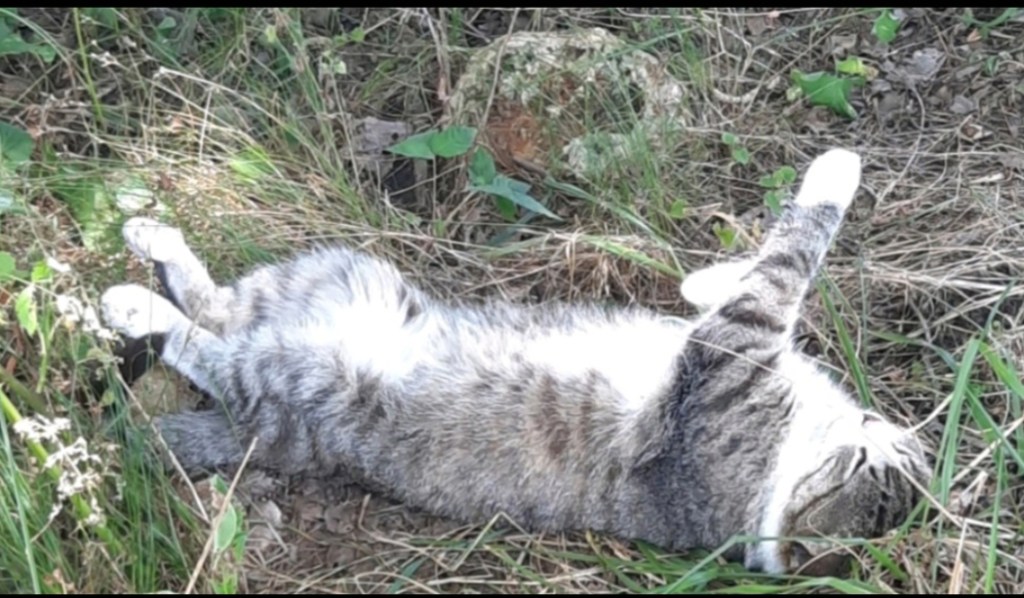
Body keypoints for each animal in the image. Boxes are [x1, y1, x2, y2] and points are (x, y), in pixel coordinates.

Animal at [99, 148, 932, 577]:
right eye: (879, 454)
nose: (885, 431)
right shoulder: (737, 341)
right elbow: (762, 280)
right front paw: (707, 274)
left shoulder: (733, 354)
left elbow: (789, 259)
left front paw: (835, 170)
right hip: (338, 275)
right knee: (220, 306)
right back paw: (149, 236)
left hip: (301, 382)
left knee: (214, 349)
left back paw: (131, 304)